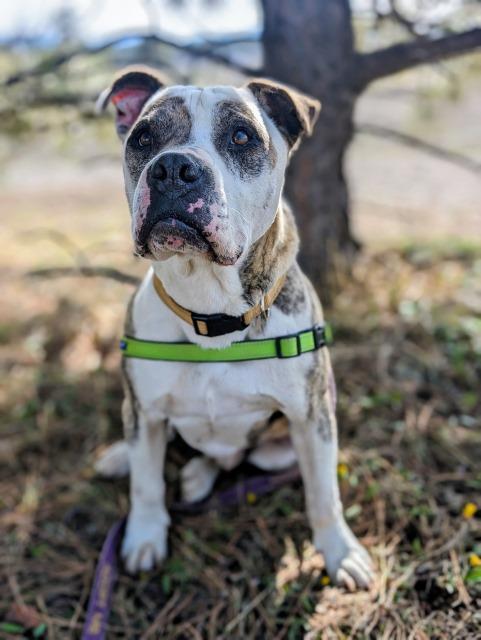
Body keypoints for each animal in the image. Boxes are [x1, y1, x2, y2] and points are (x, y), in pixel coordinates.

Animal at [95, 66, 374, 592]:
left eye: (242, 136)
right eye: (143, 138)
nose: (172, 168)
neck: (212, 313)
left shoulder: (311, 417)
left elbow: (323, 493)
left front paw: (340, 552)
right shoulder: (145, 409)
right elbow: (146, 484)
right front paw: (144, 535)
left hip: (277, 451)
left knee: (233, 460)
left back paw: (199, 475)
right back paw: (126, 457)